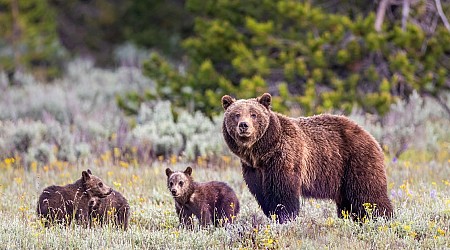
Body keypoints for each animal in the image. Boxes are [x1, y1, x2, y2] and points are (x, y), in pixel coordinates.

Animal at [222, 93, 394, 224]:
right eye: (236, 114)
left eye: (254, 114)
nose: (244, 125)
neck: (261, 153)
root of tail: (370, 136)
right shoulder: (253, 169)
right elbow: (262, 195)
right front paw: (273, 215)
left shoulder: (284, 158)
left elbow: (283, 194)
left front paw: (285, 218)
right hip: (343, 178)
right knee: (348, 204)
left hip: (356, 161)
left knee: (369, 195)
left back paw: (383, 219)